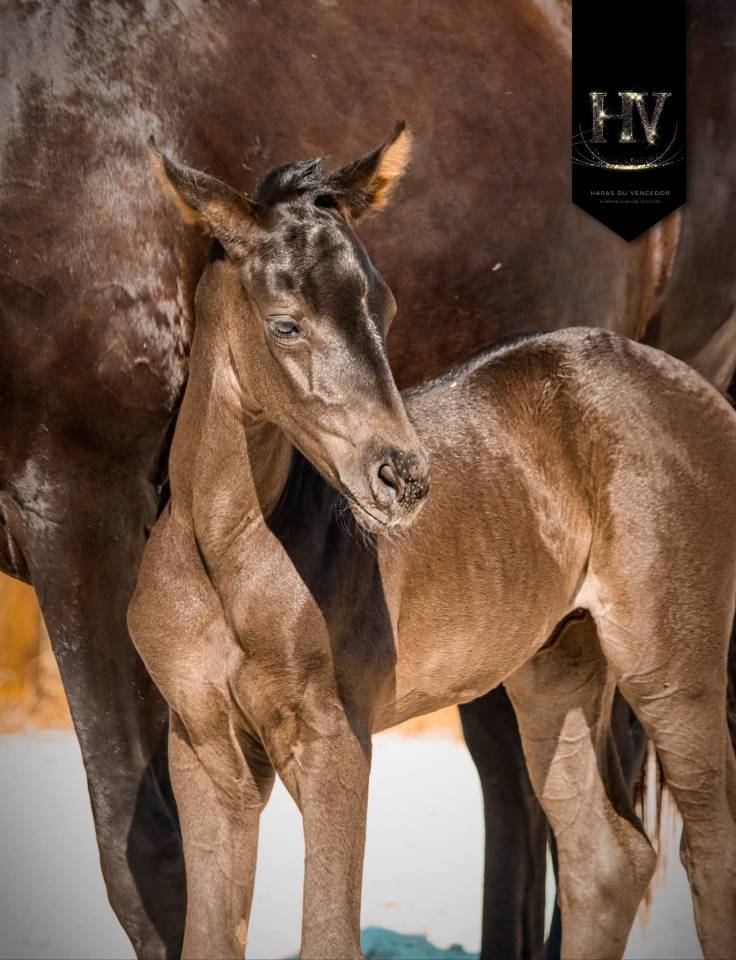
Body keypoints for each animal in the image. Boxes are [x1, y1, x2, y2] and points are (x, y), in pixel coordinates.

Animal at [3, 3, 736, 957]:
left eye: (382, 307)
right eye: (284, 323)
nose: (403, 478)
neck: (222, 551)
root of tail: (698, 396)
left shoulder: (333, 736)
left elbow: (323, 933)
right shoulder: (208, 750)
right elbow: (197, 921)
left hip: (670, 664)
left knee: (705, 849)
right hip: (557, 664)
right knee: (604, 857)